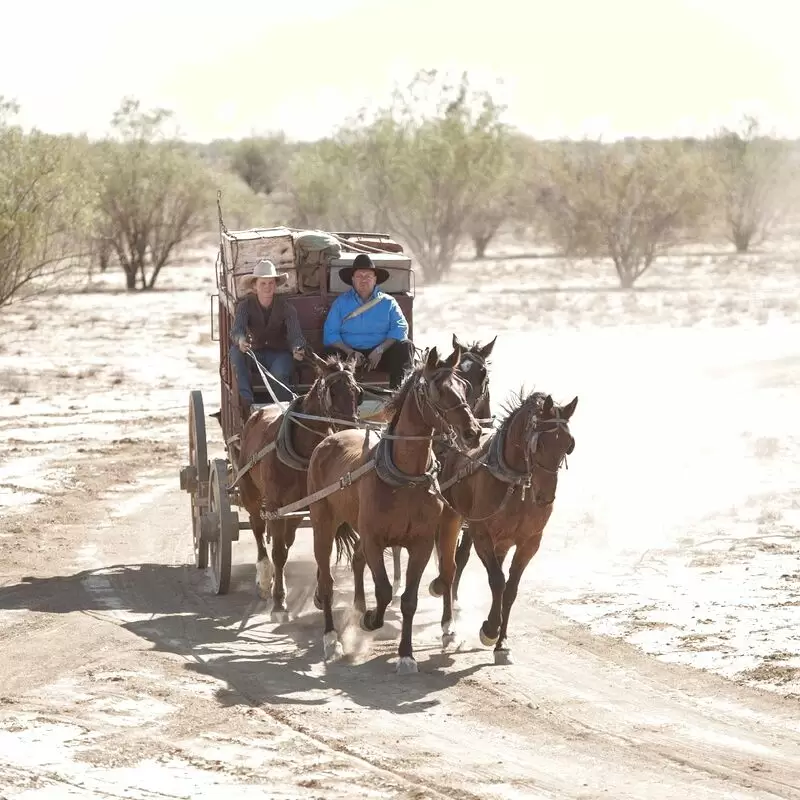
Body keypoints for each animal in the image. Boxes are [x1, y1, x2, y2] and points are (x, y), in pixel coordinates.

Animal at [238, 350, 362, 612]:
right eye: (332, 391)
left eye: (358, 392)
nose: (351, 429)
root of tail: (257, 413)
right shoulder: (275, 505)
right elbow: (277, 551)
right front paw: (278, 599)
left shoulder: (311, 504)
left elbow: (310, 547)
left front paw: (320, 593)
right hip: (250, 492)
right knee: (257, 528)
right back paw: (264, 578)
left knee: (285, 539)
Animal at [306, 346, 482, 672]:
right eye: (437, 390)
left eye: (463, 387)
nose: (473, 432)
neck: (405, 478)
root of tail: (331, 437)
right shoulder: (375, 540)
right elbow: (385, 590)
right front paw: (370, 619)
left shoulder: (421, 543)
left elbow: (409, 599)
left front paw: (406, 654)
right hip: (322, 522)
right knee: (326, 580)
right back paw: (331, 637)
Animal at [428, 390, 580, 664]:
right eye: (540, 444)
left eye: (569, 445)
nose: (545, 497)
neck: (514, 482)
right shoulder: (482, 534)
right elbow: (497, 581)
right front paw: (490, 630)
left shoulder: (529, 542)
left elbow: (510, 589)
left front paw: (502, 642)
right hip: (451, 517)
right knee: (449, 567)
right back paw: (448, 626)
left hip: (502, 540)